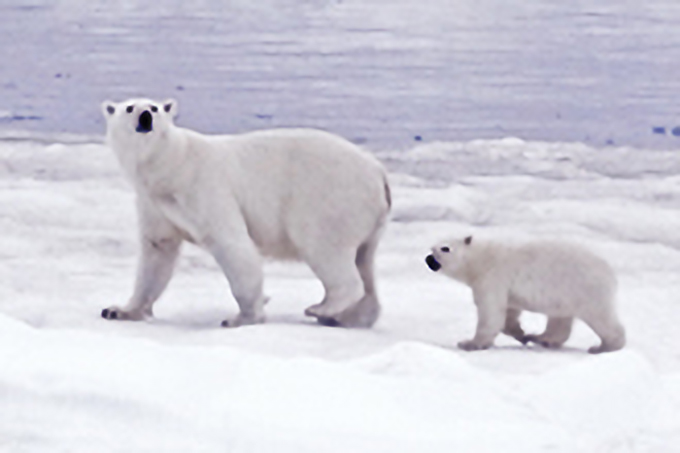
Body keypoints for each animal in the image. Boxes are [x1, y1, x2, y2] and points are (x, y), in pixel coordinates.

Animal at [98, 98, 390, 328]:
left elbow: (233, 245)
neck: (172, 165)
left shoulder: (205, 186)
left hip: (330, 199)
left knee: (324, 247)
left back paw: (321, 308)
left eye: (155, 108)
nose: (145, 117)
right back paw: (348, 317)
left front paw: (242, 317)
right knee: (364, 262)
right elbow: (157, 252)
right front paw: (119, 310)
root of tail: (378, 171)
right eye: (130, 107)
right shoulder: (154, 204)